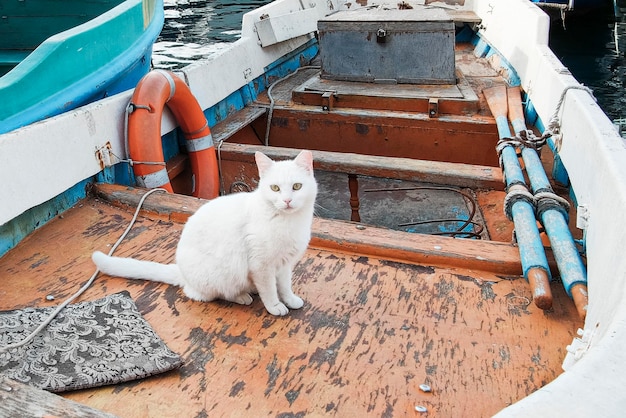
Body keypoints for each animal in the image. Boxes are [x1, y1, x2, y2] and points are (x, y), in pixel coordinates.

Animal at [91, 151, 316, 316]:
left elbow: (284, 286)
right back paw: (242, 296)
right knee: (210, 293)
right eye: (275, 188)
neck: (287, 221)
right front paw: (275, 306)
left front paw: (289, 299)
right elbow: (269, 290)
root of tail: (182, 273)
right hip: (223, 274)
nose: (287, 200)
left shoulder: (284, 264)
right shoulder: (261, 266)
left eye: (297, 186)